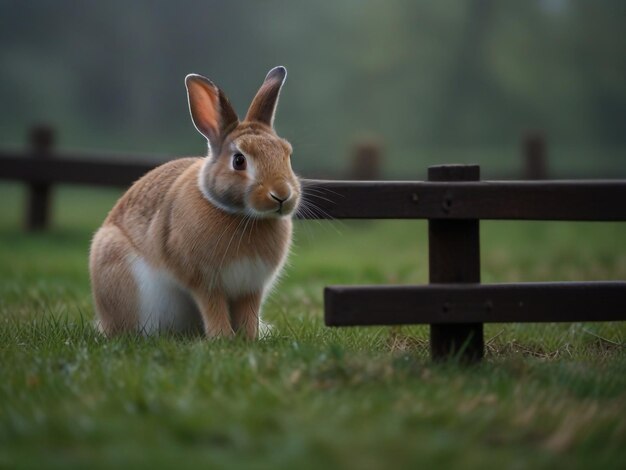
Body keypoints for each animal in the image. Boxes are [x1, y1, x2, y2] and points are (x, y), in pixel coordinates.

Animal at [88, 67, 300, 338]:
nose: (282, 195)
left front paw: (249, 338)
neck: (240, 215)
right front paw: (223, 337)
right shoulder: (204, 281)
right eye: (239, 160)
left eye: (287, 154)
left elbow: (248, 313)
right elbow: (213, 307)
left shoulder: (251, 287)